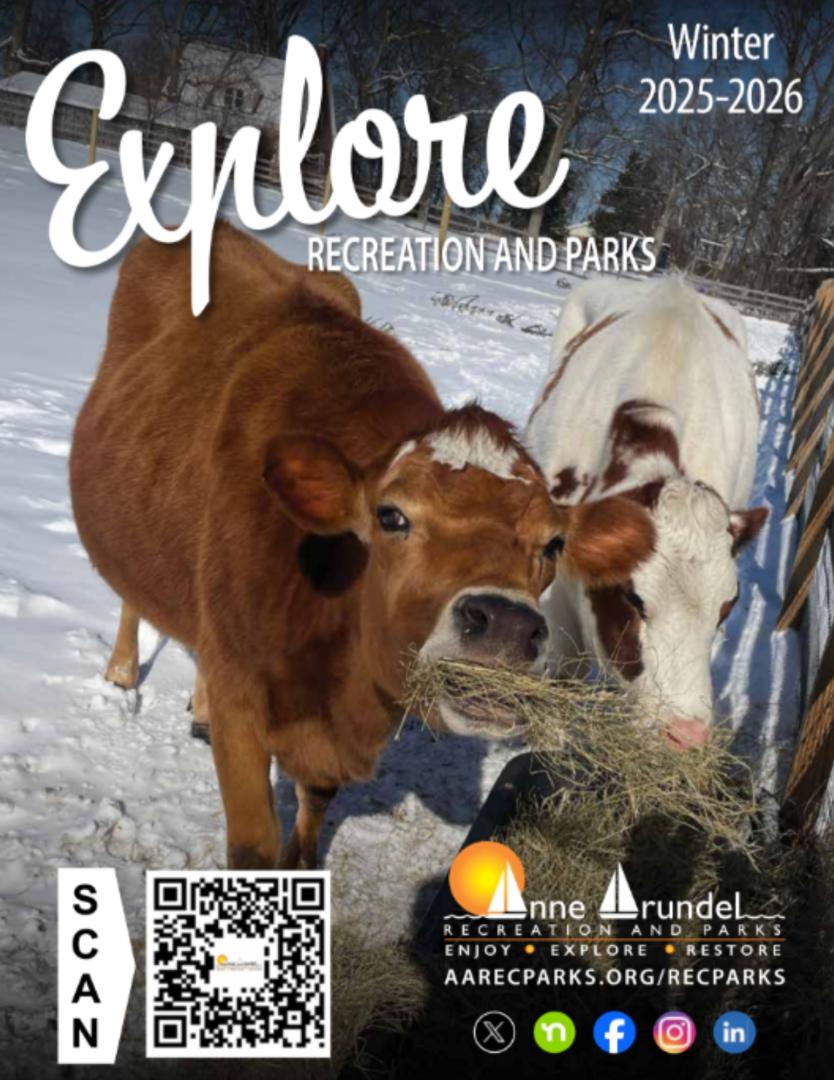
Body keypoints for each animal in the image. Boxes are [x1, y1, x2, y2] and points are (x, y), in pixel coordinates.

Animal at [69, 223, 656, 870]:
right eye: (391, 515)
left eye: (553, 543)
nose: (504, 623)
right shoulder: (243, 706)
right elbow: (253, 847)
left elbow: (314, 807)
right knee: (133, 597)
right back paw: (122, 672)